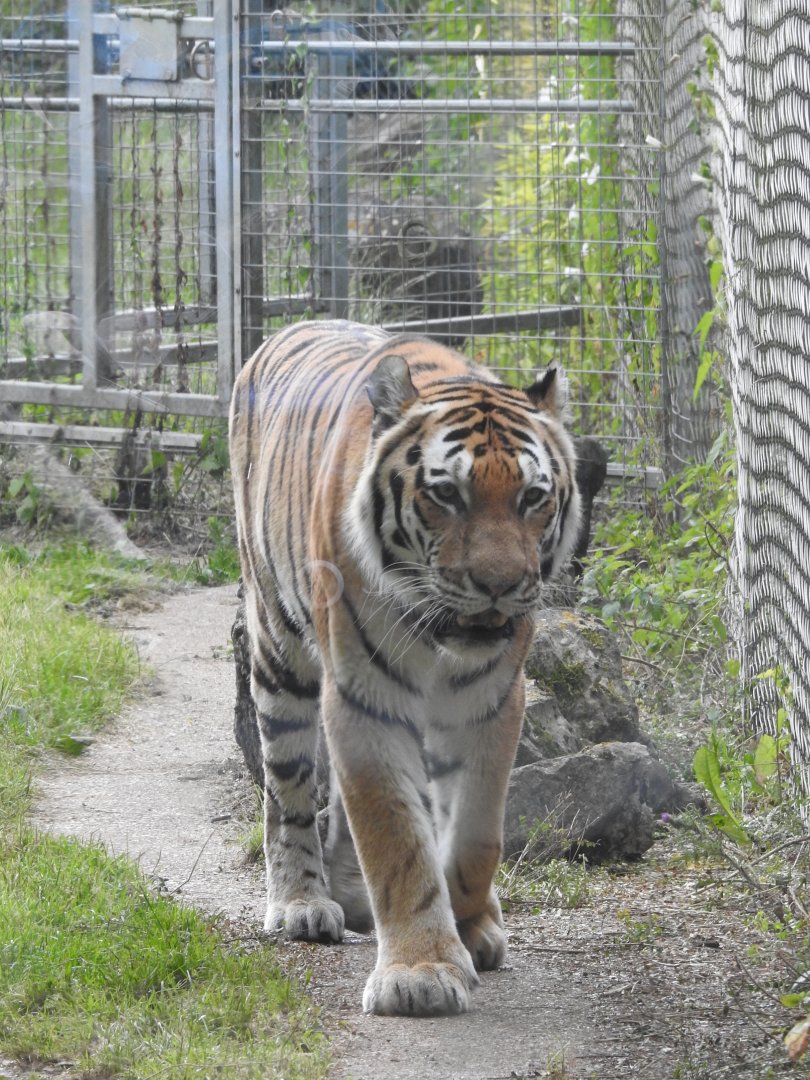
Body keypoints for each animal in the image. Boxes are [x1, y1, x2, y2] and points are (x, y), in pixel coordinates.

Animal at [228, 320, 581, 1017]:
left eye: (533, 497)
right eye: (447, 494)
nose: (499, 586)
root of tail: (281, 332)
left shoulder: (492, 699)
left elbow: (475, 834)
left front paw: (470, 926)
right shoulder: (365, 695)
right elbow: (395, 834)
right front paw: (421, 972)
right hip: (280, 651)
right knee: (288, 789)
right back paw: (302, 903)